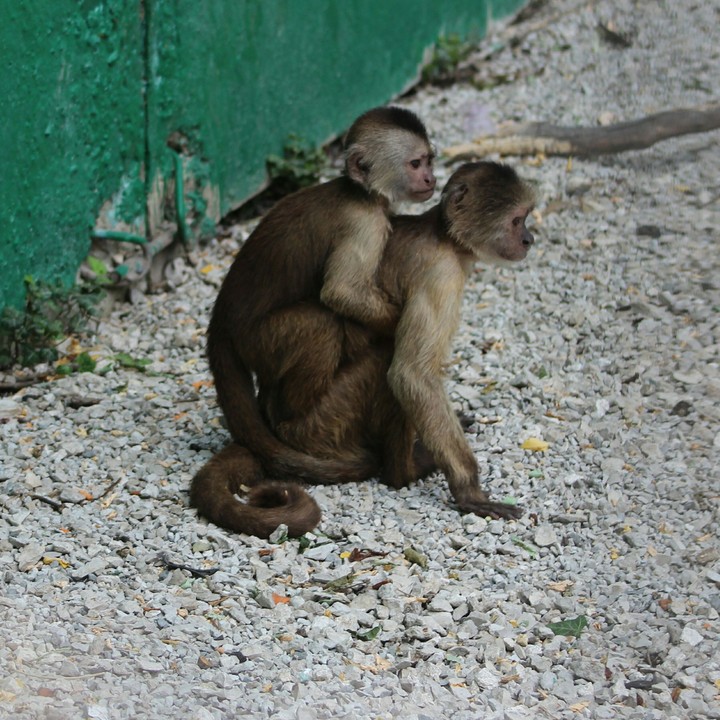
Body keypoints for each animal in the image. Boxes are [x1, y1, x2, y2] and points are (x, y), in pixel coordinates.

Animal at [191, 161, 536, 537]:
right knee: (382, 359)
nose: (529, 239)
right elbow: (411, 375)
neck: (444, 238)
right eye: (517, 220)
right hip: (322, 425)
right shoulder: (441, 276)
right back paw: (405, 469)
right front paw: (468, 490)